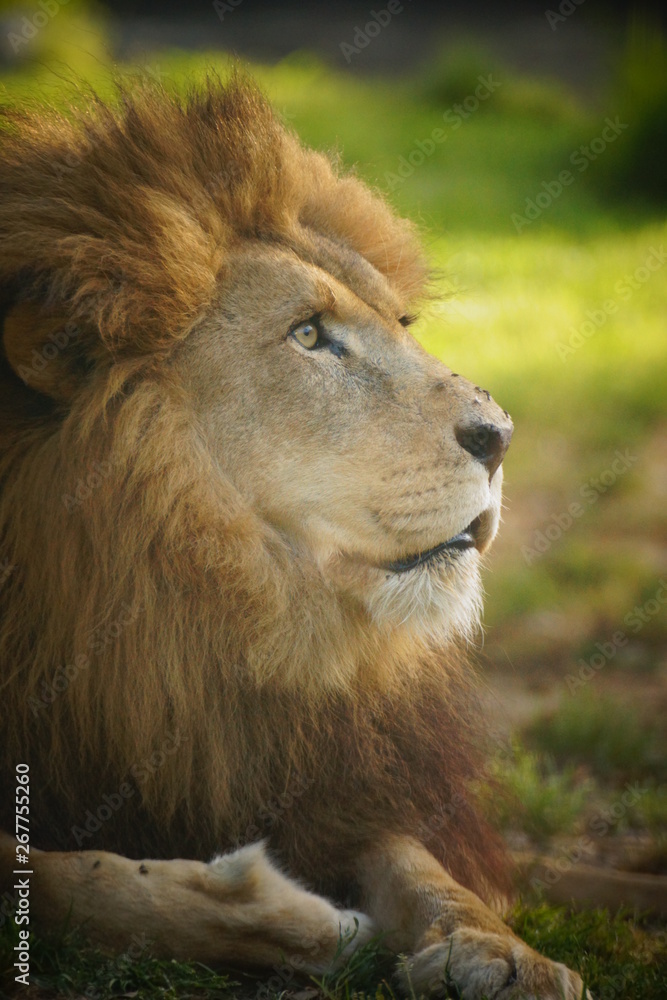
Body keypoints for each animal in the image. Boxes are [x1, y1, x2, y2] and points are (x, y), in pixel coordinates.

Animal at [0, 76, 587, 998]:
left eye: (402, 322)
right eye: (308, 335)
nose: (501, 437)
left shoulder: (314, 775)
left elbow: (417, 864)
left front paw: (505, 955)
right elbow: (67, 879)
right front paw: (292, 920)